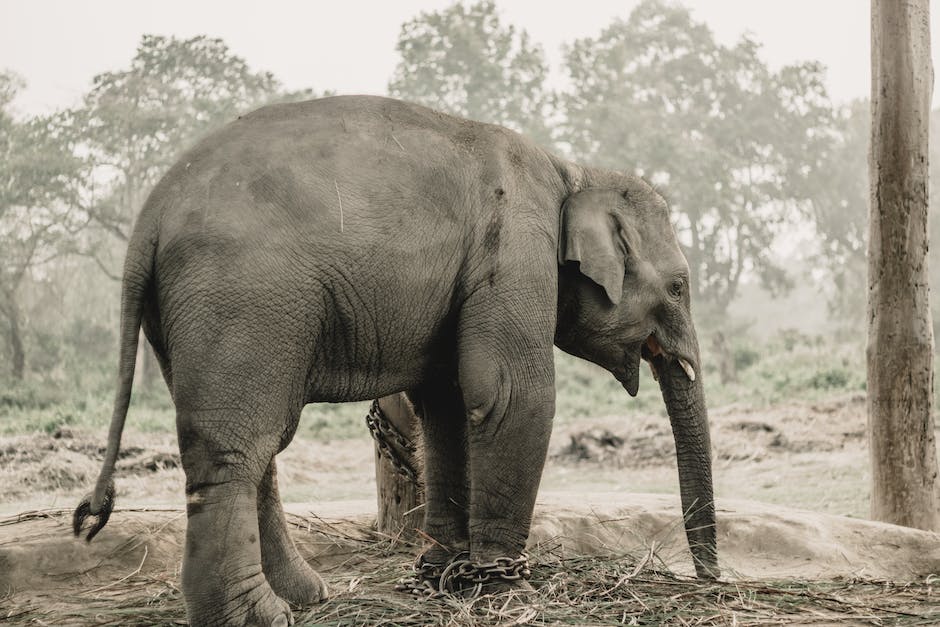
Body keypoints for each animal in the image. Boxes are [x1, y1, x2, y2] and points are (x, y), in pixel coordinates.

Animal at [75, 95, 720, 624]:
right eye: (679, 286)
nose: (711, 582)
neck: (574, 170)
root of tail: (149, 216)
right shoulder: (514, 251)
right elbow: (510, 395)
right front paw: (508, 592)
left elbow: (447, 404)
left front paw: (445, 578)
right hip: (243, 298)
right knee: (238, 447)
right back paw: (260, 616)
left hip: (192, 315)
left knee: (255, 445)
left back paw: (306, 596)